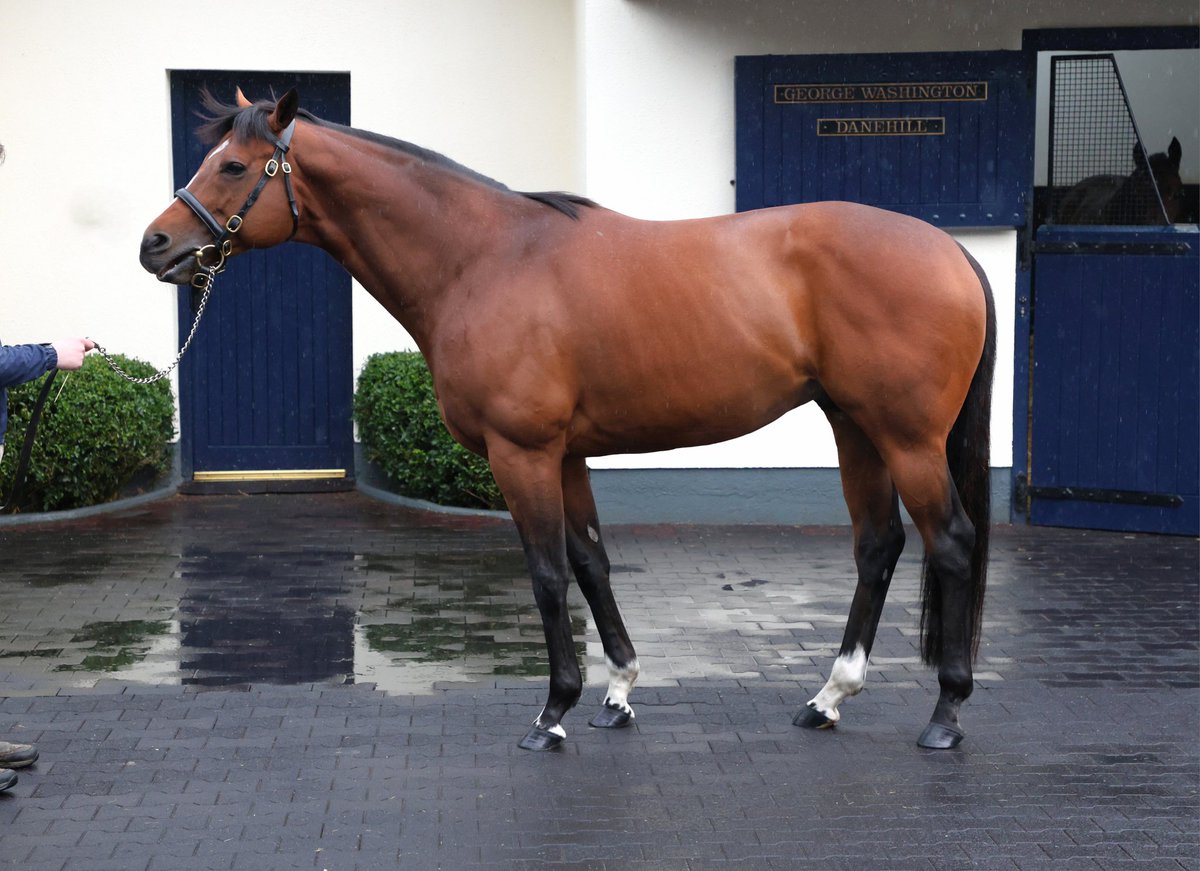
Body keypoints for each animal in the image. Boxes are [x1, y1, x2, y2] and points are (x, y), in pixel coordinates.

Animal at [140, 89, 997, 752]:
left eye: (234, 166)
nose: (156, 244)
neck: (484, 258)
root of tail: (951, 251)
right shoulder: (569, 454)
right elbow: (590, 561)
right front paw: (617, 694)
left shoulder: (520, 452)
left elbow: (548, 571)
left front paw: (552, 710)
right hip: (854, 425)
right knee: (877, 545)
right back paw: (827, 698)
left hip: (907, 437)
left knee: (951, 542)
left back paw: (947, 711)